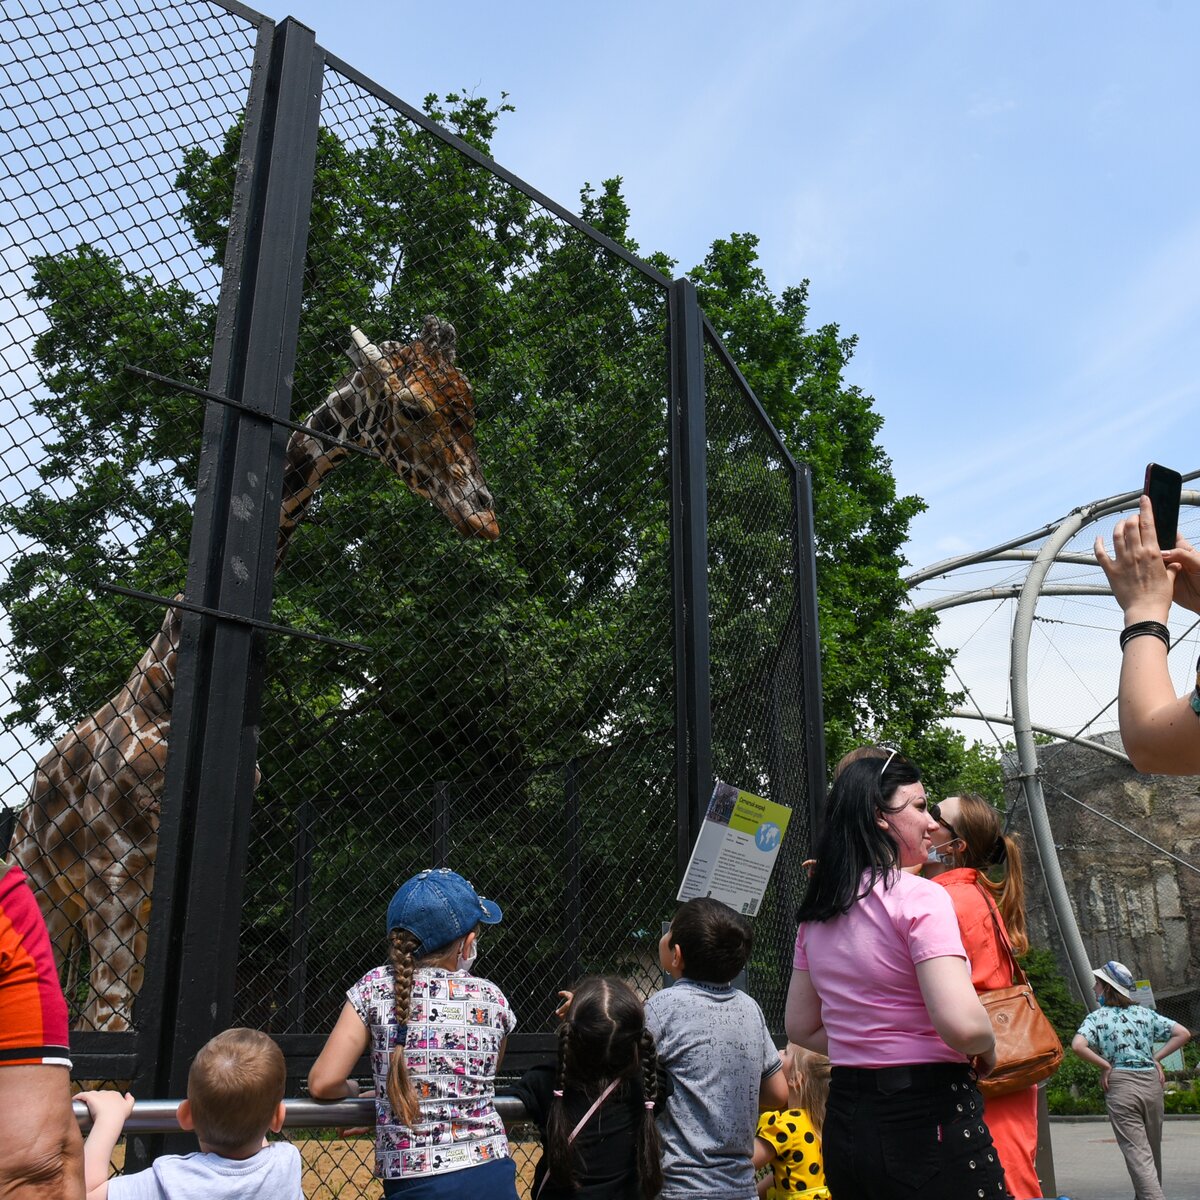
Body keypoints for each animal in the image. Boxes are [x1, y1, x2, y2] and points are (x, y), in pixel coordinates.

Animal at [10, 314, 496, 1027]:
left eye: (471, 409)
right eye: (411, 408)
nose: (482, 515)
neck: (168, 688)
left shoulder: (172, 883)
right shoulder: (115, 878)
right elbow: (109, 1021)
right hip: (44, 884)